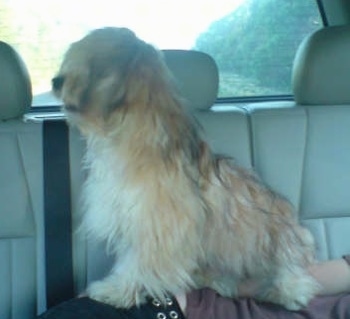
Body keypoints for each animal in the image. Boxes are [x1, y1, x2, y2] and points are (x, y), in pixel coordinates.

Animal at [52, 28, 320, 312]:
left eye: (92, 66)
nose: (56, 81)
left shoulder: (157, 226)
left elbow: (138, 264)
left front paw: (117, 290)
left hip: (279, 247)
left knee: (292, 277)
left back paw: (285, 291)